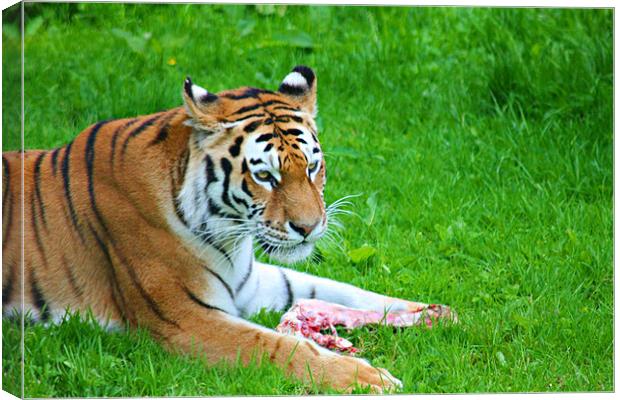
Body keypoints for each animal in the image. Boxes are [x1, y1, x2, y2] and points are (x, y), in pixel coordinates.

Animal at [1, 66, 456, 394]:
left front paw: (425, 311)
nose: (309, 228)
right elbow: (277, 346)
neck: (229, 235)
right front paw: (367, 378)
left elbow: (340, 290)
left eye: (312, 167)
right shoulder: (185, 318)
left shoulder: (248, 283)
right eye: (266, 176)